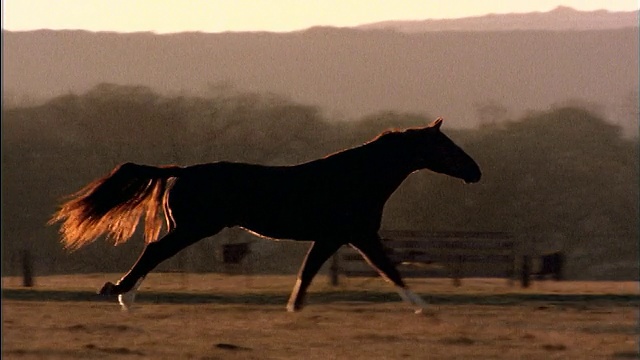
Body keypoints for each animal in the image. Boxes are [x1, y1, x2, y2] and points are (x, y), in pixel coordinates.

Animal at [50, 117, 480, 312]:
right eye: (445, 146)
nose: (475, 171)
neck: (354, 178)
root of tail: (181, 171)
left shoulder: (338, 238)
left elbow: (312, 272)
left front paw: (294, 309)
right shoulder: (353, 235)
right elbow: (389, 269)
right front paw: (425, 309)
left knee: (154, 252)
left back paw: (125, 295)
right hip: (193, 228)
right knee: (154, 251)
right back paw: (123, 295)